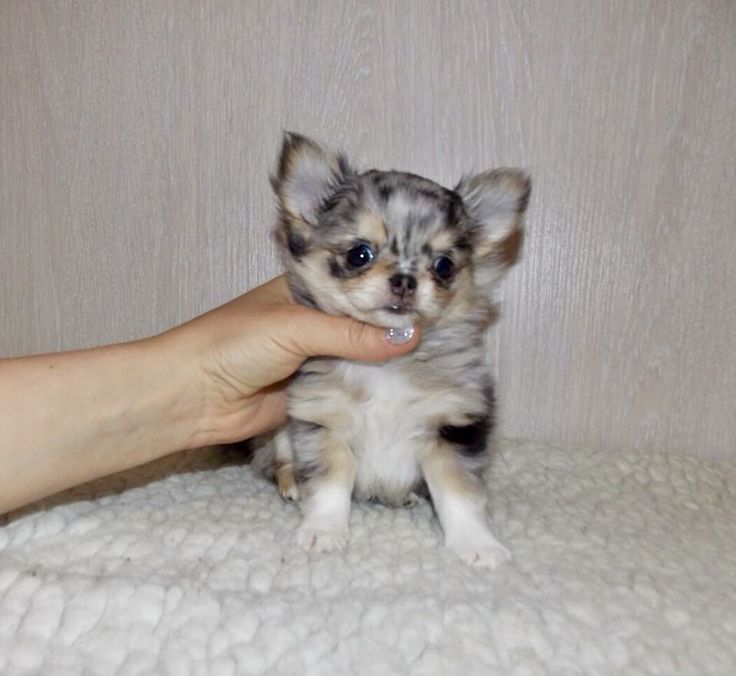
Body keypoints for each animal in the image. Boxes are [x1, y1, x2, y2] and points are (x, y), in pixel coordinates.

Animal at [254, 133, 528, 572]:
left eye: (444, 265)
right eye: (359, 254)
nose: (404, 280)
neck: (387, 365)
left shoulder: (453, 425)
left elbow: (459, 494)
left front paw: (477, 543)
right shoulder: (322, 419)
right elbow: (329, 484)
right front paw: (323, 531)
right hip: (280, 434)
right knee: (277, 461)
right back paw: (291, 482)